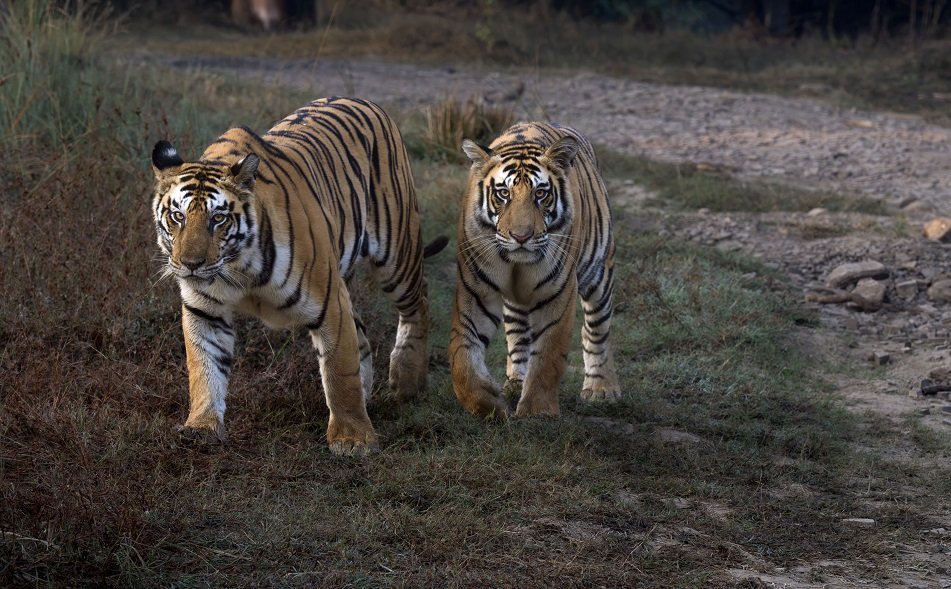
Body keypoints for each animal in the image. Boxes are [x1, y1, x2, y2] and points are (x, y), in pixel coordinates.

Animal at [150, 97, 446, 456]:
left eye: (218, 218)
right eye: (177, 216)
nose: (190, 264)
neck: (237, 268)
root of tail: (363, 100)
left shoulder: (329, 301)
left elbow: (339, 371)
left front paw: (353, 439)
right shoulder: (204, 309)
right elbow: (204, 368)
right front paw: (202, 426)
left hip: (396, 251)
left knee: (419, 302)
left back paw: (407, 380)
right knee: (362, 333)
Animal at [448, 122, 621, 418]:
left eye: (540, 194)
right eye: (503, 193)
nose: (521, 236)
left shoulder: (558, 292)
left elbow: (548, 354)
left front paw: (537, 411)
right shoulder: (476, 290)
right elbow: (462, 355)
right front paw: (488, 403)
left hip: (599, 272)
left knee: (596, 332)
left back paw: (601, 388)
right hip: (515, 304)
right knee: (519, 339)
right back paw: (515, 384)